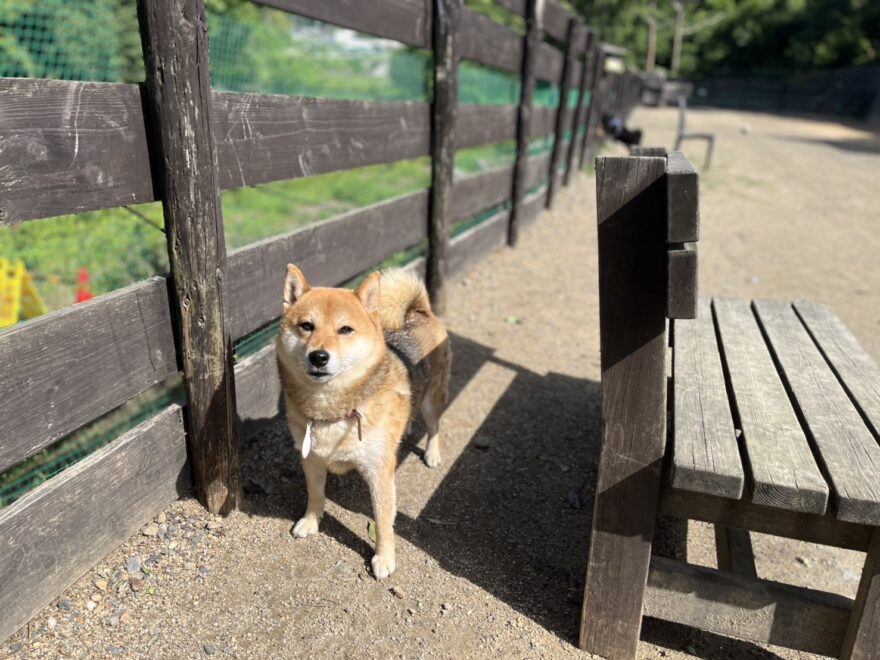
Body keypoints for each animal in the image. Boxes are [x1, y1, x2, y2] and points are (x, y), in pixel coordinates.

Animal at [276, 264, 451, 579]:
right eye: (307, 326)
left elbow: (382, 521)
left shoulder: (379, 473)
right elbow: (315, 494)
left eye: (345, 330)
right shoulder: (312, 459)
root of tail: (421, 312)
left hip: (433, 402)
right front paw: (311, 521)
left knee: (434, 426)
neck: (334, 412)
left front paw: (383, 557)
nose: (318, 357)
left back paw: (432, 453)